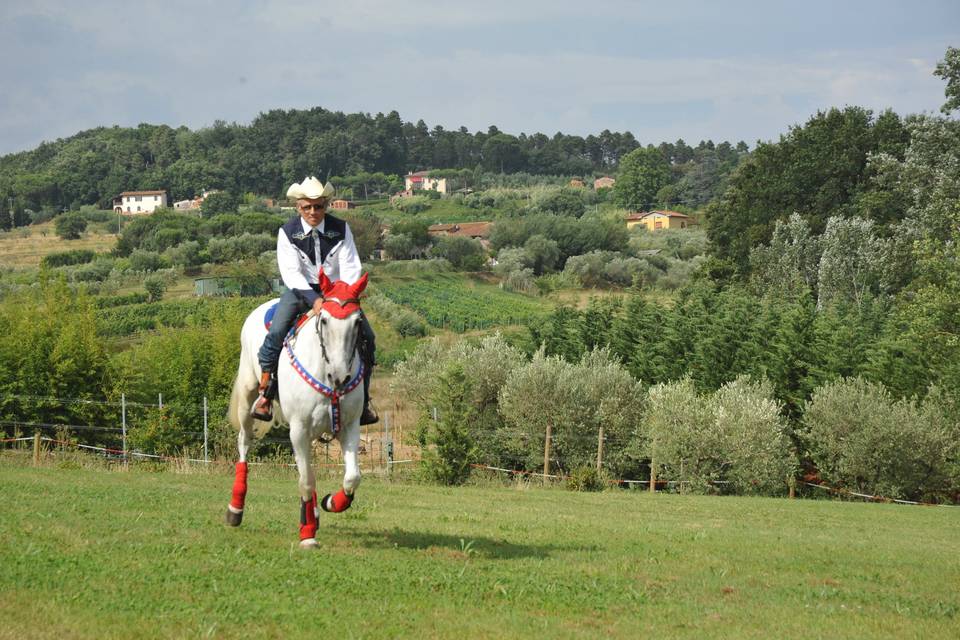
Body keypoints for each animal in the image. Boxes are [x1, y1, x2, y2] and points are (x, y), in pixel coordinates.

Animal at [227, 272, 370, 548]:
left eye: (358, 322)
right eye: (324, 320)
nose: (340, 377)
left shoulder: (350, 426)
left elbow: (352, 477)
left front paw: (331, 502)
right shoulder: (299, 429)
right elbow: (305, 481)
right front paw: (307, 533)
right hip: (248, 397)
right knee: (244, 443)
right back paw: (235, 509)